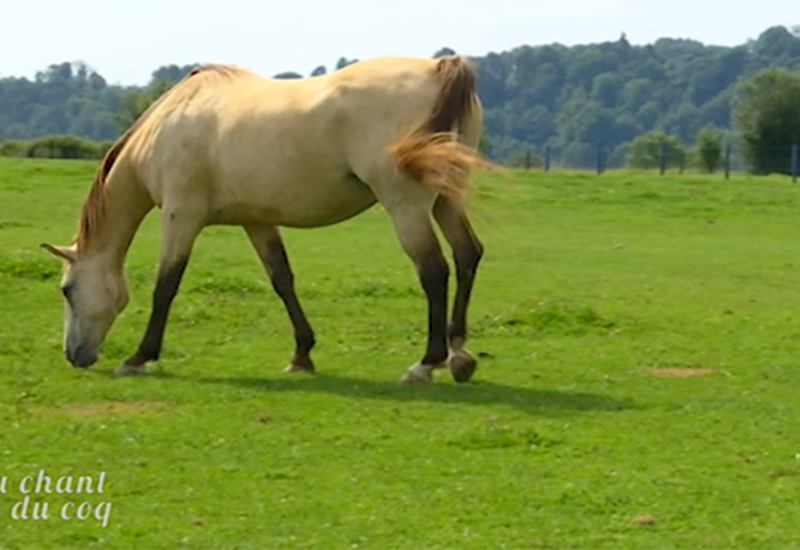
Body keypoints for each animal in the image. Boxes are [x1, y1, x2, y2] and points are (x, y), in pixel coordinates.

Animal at [42, 55, 488, 384]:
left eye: (66, 290)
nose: (74, 355)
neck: (167, 124)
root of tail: (440, 67)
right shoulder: (256, 222)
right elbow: (282, 280)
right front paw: (302, 354)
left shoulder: (180, 216)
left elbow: (165, 286)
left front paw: (138, 357)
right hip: (445, 199)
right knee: (467, 255)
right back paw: (458, 355)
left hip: (406, 205)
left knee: (434, 270)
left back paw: (426, 364)